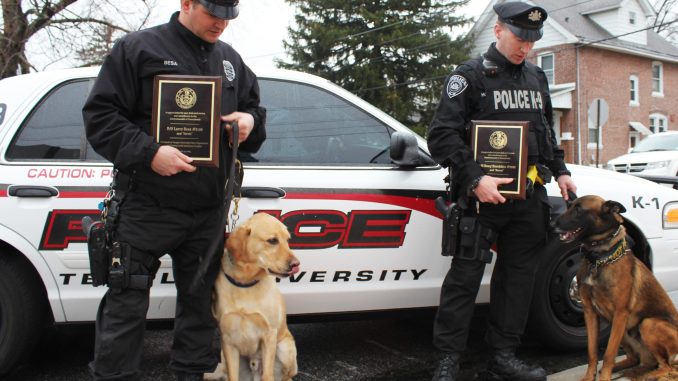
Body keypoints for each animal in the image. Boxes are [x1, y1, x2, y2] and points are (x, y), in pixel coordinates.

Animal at [205, 212, 300, 378]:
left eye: (287, 240)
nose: (296, 265)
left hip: (285, 348)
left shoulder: (269, 335)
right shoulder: (228, 341)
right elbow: (233, 377)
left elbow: (267, 376)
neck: (246, 282)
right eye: (272, 240)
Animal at [552, 196, 678, 380]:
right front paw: (589, 376)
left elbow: (609, 354)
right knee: (637, 359)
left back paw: (651, 374)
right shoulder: (590, 312)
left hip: (646, 323)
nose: (551, 223)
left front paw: (604, 377)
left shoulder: (620, 313)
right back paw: (627, 368)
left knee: (667, 366)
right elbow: (592, 351)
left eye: (579, 210)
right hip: (622, 329)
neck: (598, 259)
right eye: (569, 205)